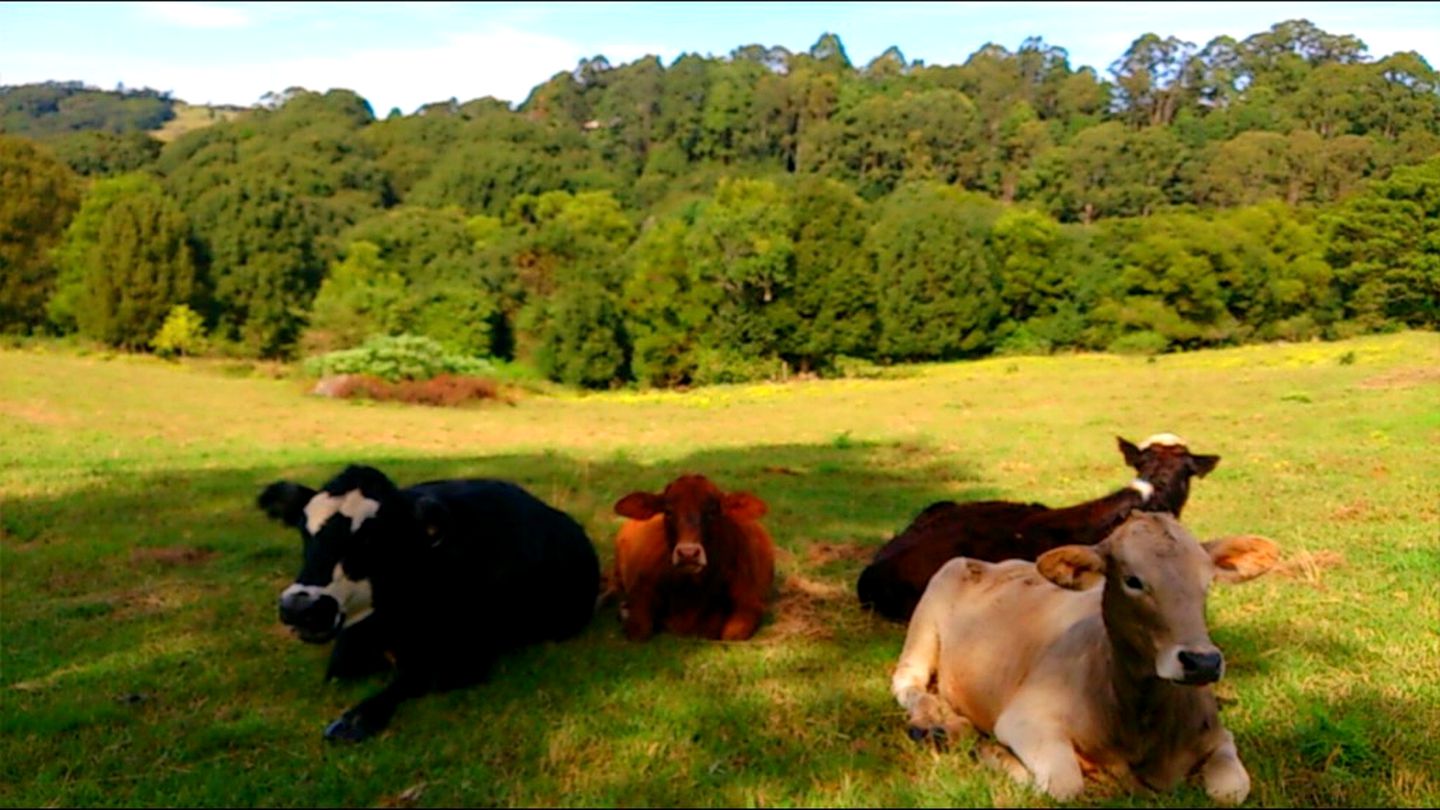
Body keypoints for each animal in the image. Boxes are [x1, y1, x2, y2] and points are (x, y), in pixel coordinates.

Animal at [256, 464, 599, 743]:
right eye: (304, 530)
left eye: (372, 537)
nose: (301, 608)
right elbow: (339, 668)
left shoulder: (466, 657)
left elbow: (412, 679)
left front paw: (356, 719)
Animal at [607, 472, 777, 637]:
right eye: (668, 512)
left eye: (712, 511)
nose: (688, 553)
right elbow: (639, 629)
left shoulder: (750, 603)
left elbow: (733, 633)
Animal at [892, 510, 1278, 801]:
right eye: (1132, 580)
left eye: (1207, 581)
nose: (1203, 663)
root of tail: (991, 562)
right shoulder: (1025, 720)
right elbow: (1063, 784)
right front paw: (993, 753)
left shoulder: (1218, 736)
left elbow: (1231, 790)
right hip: (925, 624)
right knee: (909, 686)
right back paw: (939, 723)